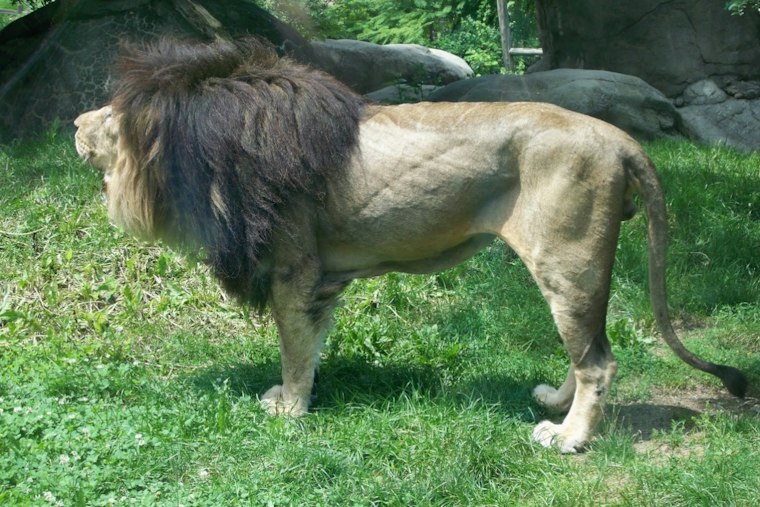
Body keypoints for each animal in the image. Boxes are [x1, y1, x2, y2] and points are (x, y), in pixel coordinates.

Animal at [74, 38, 747, 453]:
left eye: (110, 119)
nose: (76, 124)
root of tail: (618, 137)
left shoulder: (294, 270)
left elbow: (292, 348)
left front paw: (290, 409)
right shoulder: (321, 278)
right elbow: (310, 345)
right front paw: (294, 395)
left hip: (567, 259)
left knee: (599, 360)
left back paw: (567, 437)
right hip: (572, 269)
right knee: (587, 349)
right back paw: (555, 403)